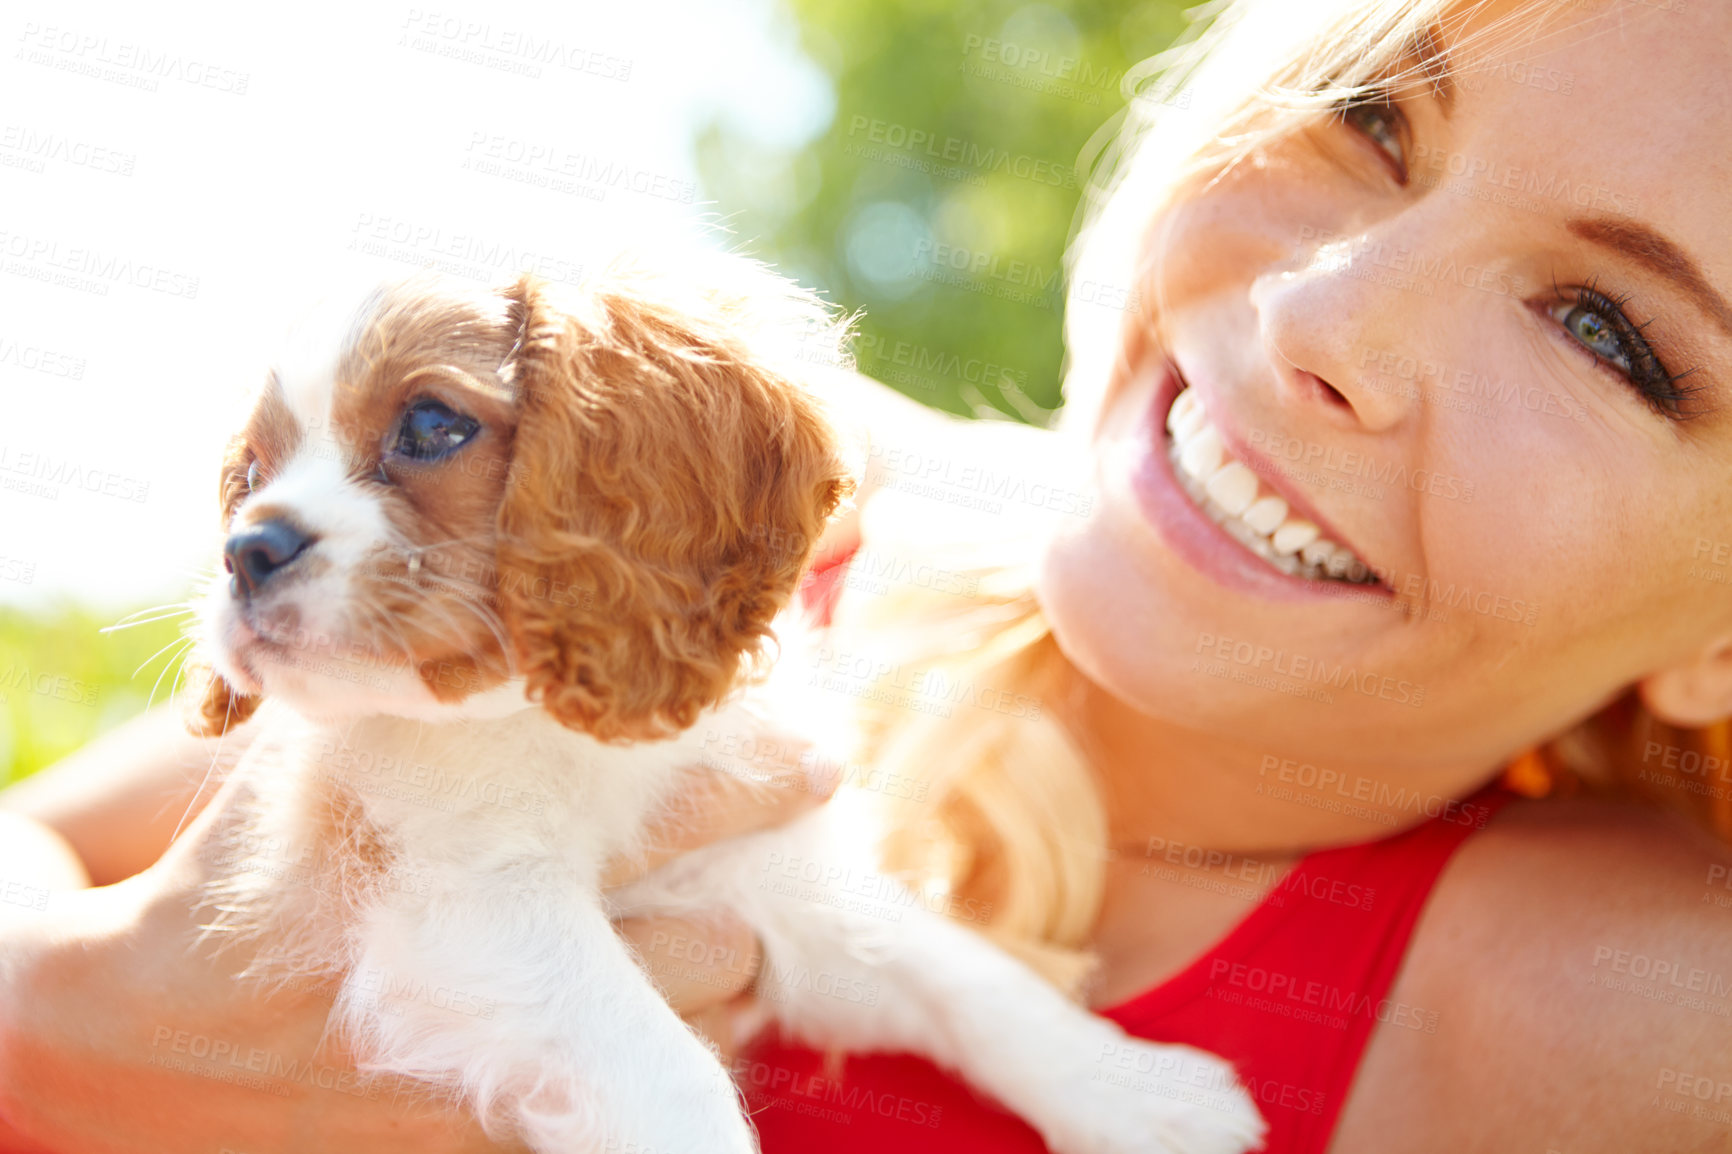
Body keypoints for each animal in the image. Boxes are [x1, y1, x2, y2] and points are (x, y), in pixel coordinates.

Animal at [189, 258, 1267, 1150]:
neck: (542, 726)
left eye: (428, 427)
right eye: (250, 476)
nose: (248, 548)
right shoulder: (465, 902)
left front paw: (1138, 1090)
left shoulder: (764, 875)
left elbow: (950, 968)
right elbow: (665, 1069)